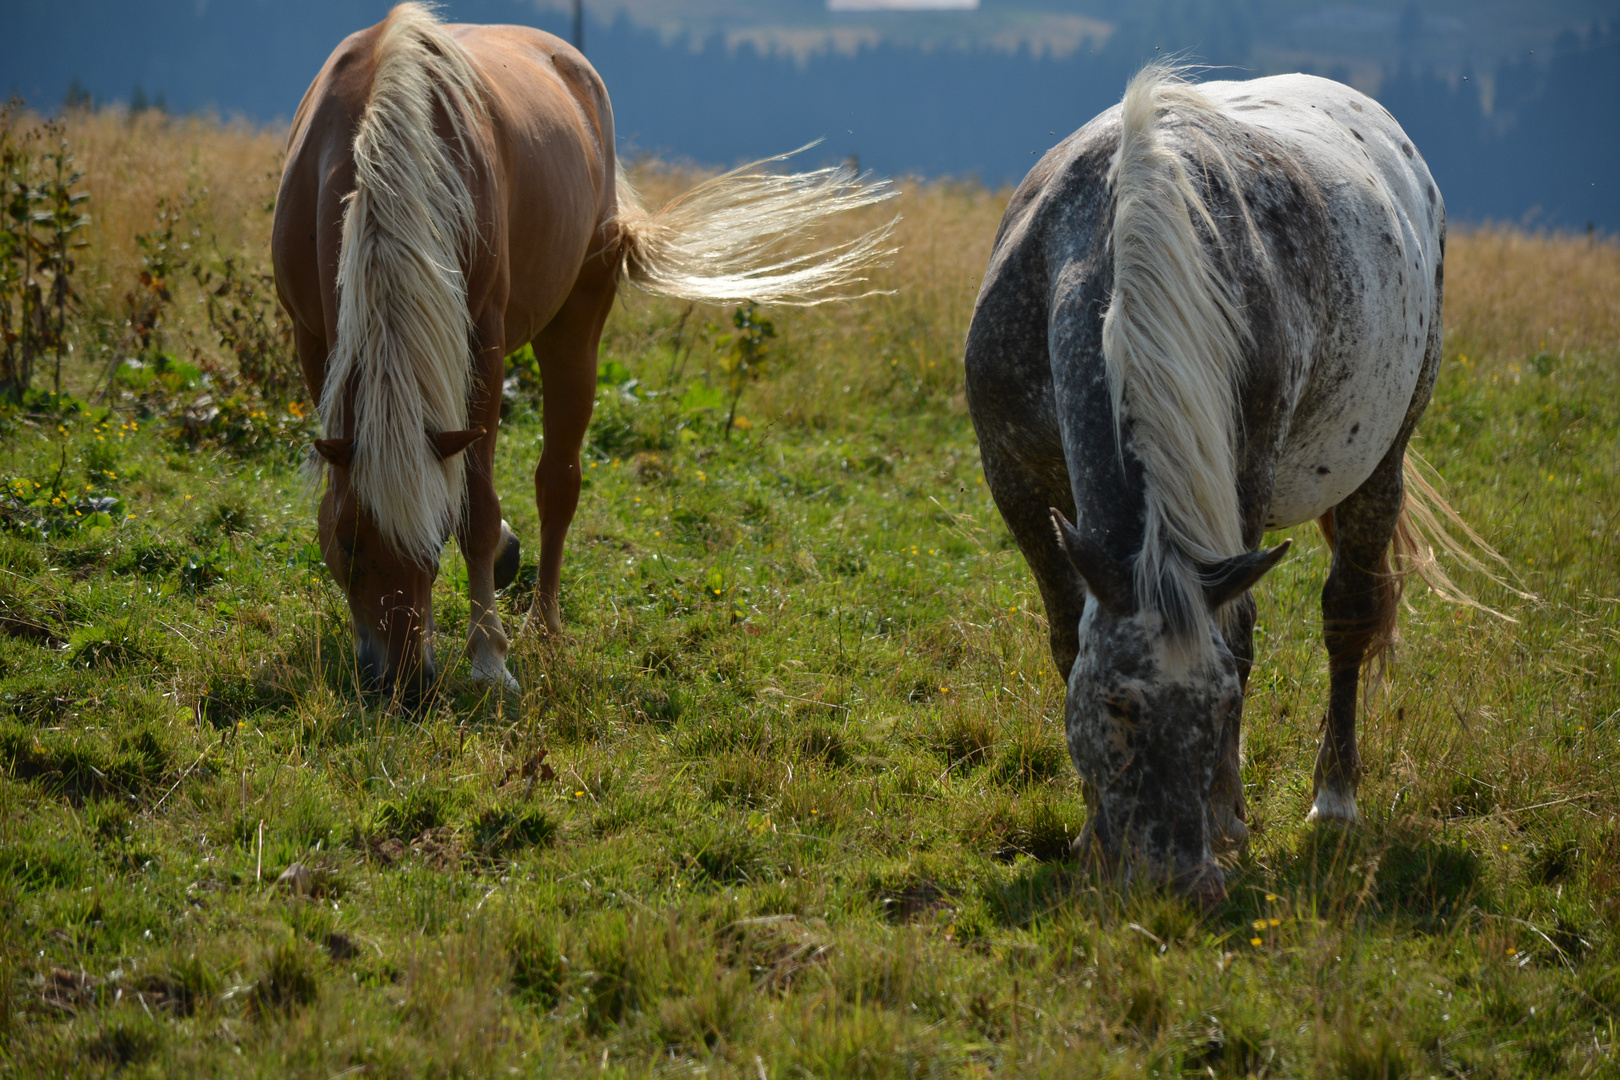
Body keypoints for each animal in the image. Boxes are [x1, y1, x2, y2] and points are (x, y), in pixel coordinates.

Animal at [272, 2, 894, 702]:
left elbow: (477, 511)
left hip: (575, 330)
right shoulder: (313, 338)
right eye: (349, 545)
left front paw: (489, 660)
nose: (406, 685)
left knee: (558, 482)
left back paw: (542, 626)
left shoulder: (483, 346)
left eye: (433, 543)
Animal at [959, 65, 1483, 906]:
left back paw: (1334, 801)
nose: (1176, 879)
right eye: (1117, 704)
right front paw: (1088, 829)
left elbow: (1236, 638)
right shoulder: (1013, 481)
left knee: (1349, 613)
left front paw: (1227, 816)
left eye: (1225, 708)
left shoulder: (1241, 480)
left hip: (1384, 460)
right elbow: (1065, 635)